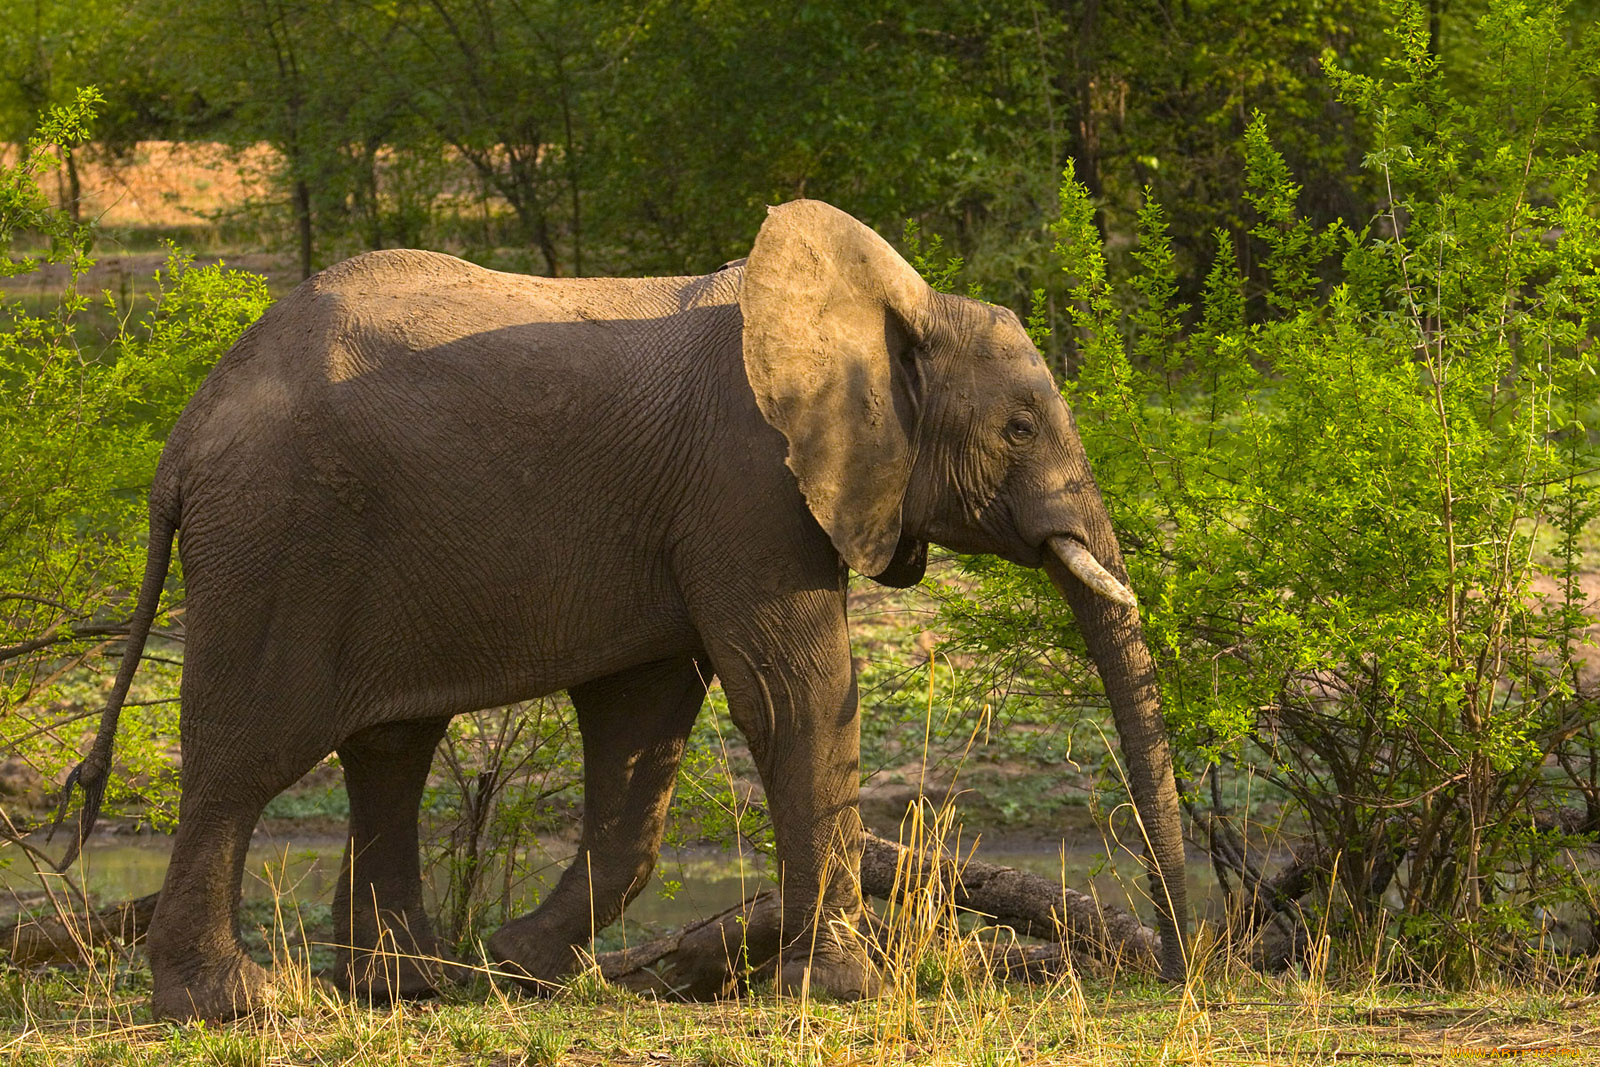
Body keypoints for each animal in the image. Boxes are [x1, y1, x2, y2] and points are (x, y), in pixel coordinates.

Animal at [56, 195, 1190, 1023]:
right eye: (1018, 428)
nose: (1176, 963)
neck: (885, 306)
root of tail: (182, 440)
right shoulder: (748, 484)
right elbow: (793, 695)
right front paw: (838, 991)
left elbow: (643, 727)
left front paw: (524, 967)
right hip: (280, 540)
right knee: (245, 758)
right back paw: (239, 1002)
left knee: (389, 745)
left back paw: (407, 984)